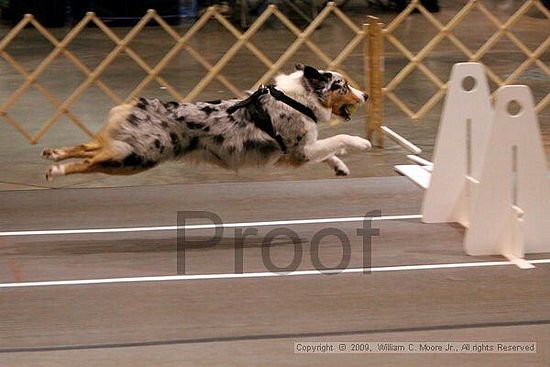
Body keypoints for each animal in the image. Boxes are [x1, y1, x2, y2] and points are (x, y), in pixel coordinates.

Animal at [42, 65, 370, 183]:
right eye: (342, 85)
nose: (366, 94)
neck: (298, 99)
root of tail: (134, 105)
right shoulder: (299, 151)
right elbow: (337, 139)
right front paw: (362, 143)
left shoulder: (306, 149)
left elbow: (329, 151)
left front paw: (340, 167)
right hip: (139, 156)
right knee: (92, 159)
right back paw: (57, 169)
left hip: (128, 150)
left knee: (91, 147)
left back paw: (54, 154)